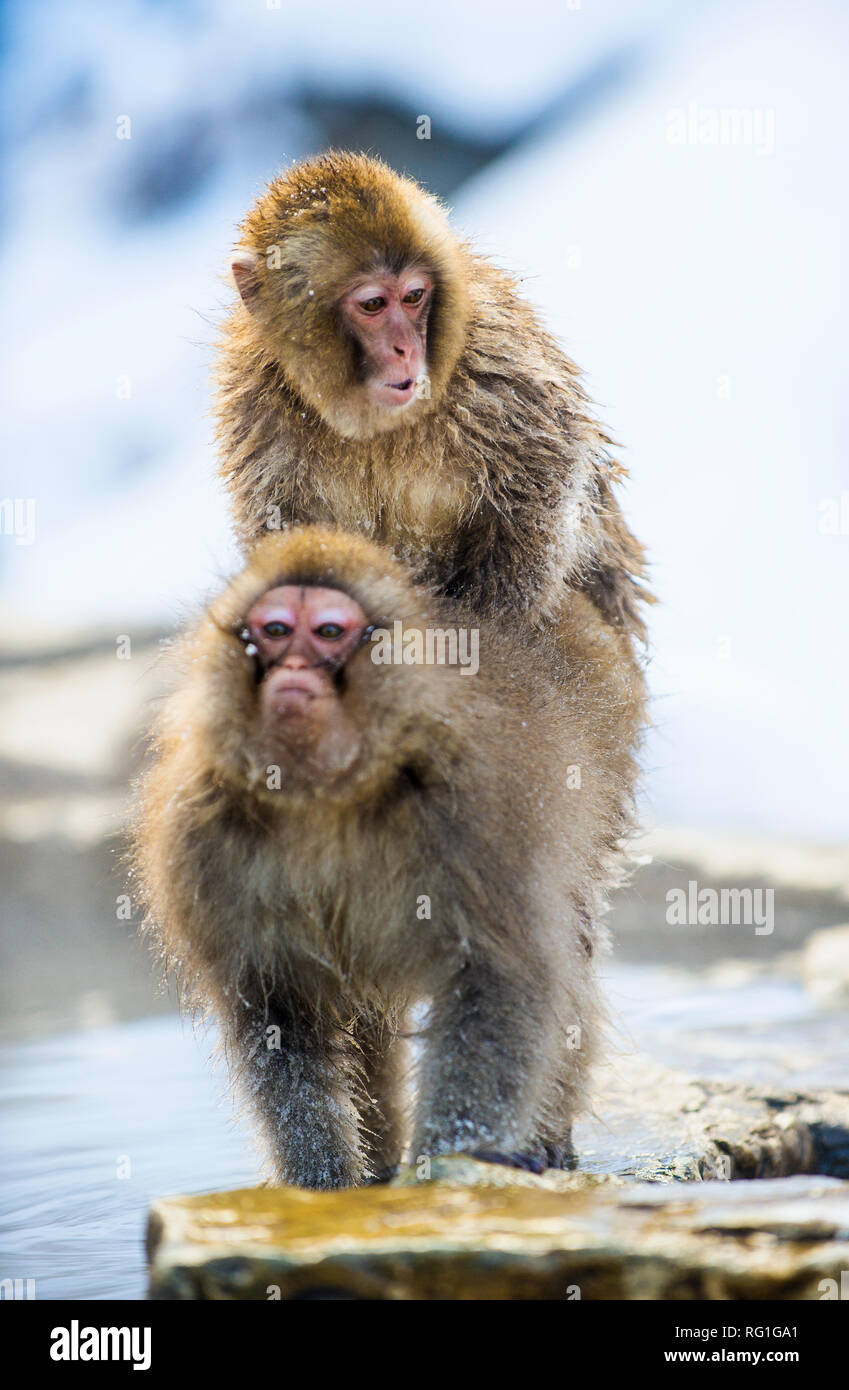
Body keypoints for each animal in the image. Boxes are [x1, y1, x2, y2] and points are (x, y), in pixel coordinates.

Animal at [133, 526, 644, 1189]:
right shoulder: (198, 834)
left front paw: (446, 1164)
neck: (329, 792)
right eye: (276, 630)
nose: (293, 669)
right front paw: (321, 1184)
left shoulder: (481, 810)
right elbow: (275, 1010)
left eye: (328, 632)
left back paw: (545, 1143)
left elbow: (501, 977)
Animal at [215, 150, 651, 644]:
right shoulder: (256, 415)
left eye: (414, 296)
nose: (407, 348)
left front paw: (490, 617)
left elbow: (545, 478)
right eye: (372, 305)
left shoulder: (497, 367)